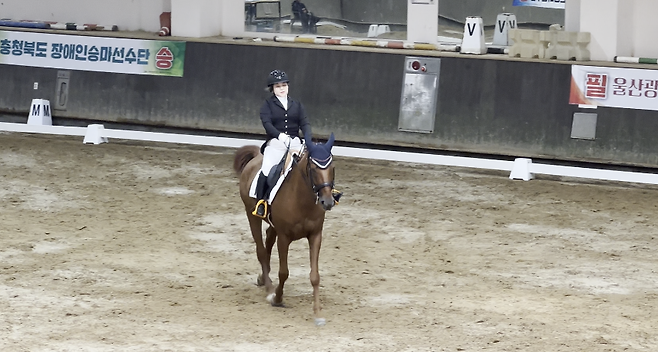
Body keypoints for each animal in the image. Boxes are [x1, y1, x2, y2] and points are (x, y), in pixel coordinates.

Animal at [231, 133, 336, 326]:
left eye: (332, 167)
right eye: (313, 168)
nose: (327, 202)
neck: (302, 200)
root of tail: (257, 156)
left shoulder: (315, 235)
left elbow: (315, 276)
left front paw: (318, 313)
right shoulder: (284, 237)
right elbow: (284, 272)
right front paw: (277, 298)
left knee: (268, 240)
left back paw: (262, 278)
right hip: (252, 216)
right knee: (261, 250)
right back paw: (268, 288)